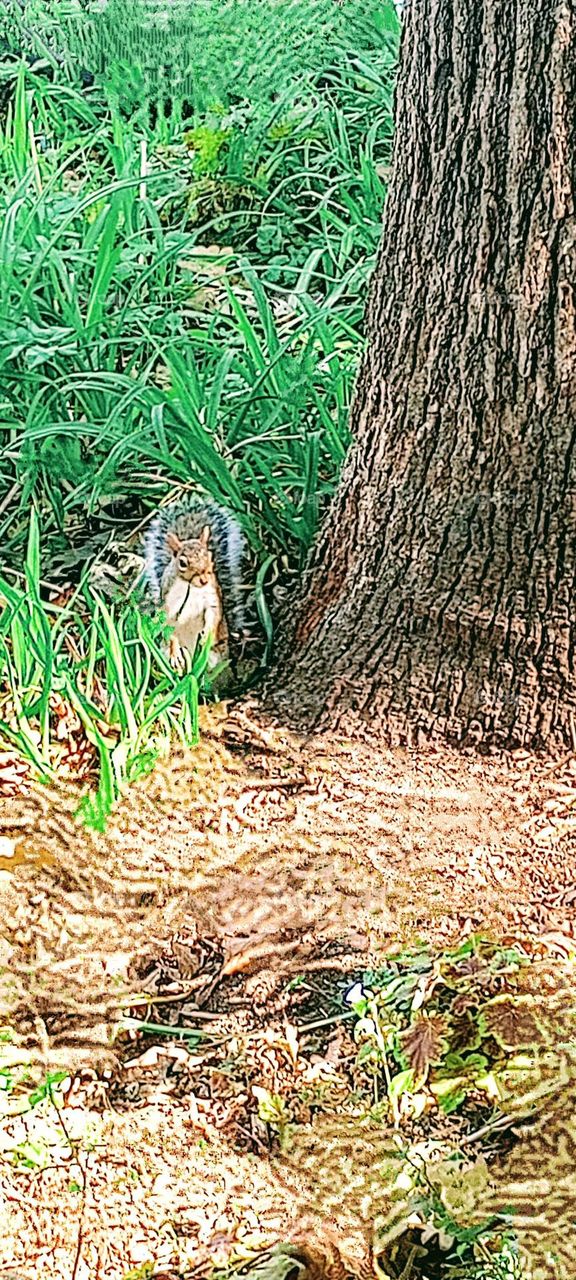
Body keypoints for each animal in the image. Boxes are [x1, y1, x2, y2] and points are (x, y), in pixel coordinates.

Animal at [143, 497, 246, 672]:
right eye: (183, 563)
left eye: (210, 555)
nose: (204, 578)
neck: (191, 587)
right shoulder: (169, 603)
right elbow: (169, 624)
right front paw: (175, 652)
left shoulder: (211, 596)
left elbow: (213, 613)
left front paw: (206, 636)